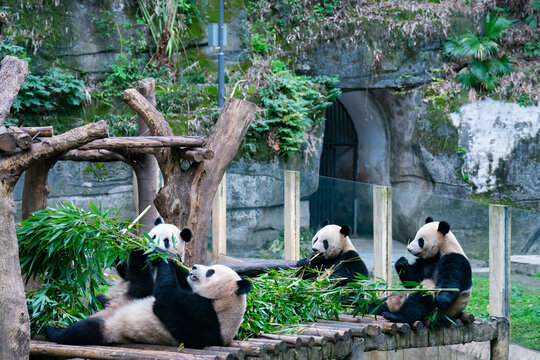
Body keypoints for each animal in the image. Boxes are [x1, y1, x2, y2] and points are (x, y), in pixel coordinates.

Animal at [47, 258, 252, 348]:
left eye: (210, 272)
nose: (193, 267)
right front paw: (171, 258)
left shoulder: (205, 317)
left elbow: (166, 300)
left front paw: (167, 259)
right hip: (128, 296)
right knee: (140, 280)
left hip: (113, 328)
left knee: (86, 330)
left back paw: (53, 330)